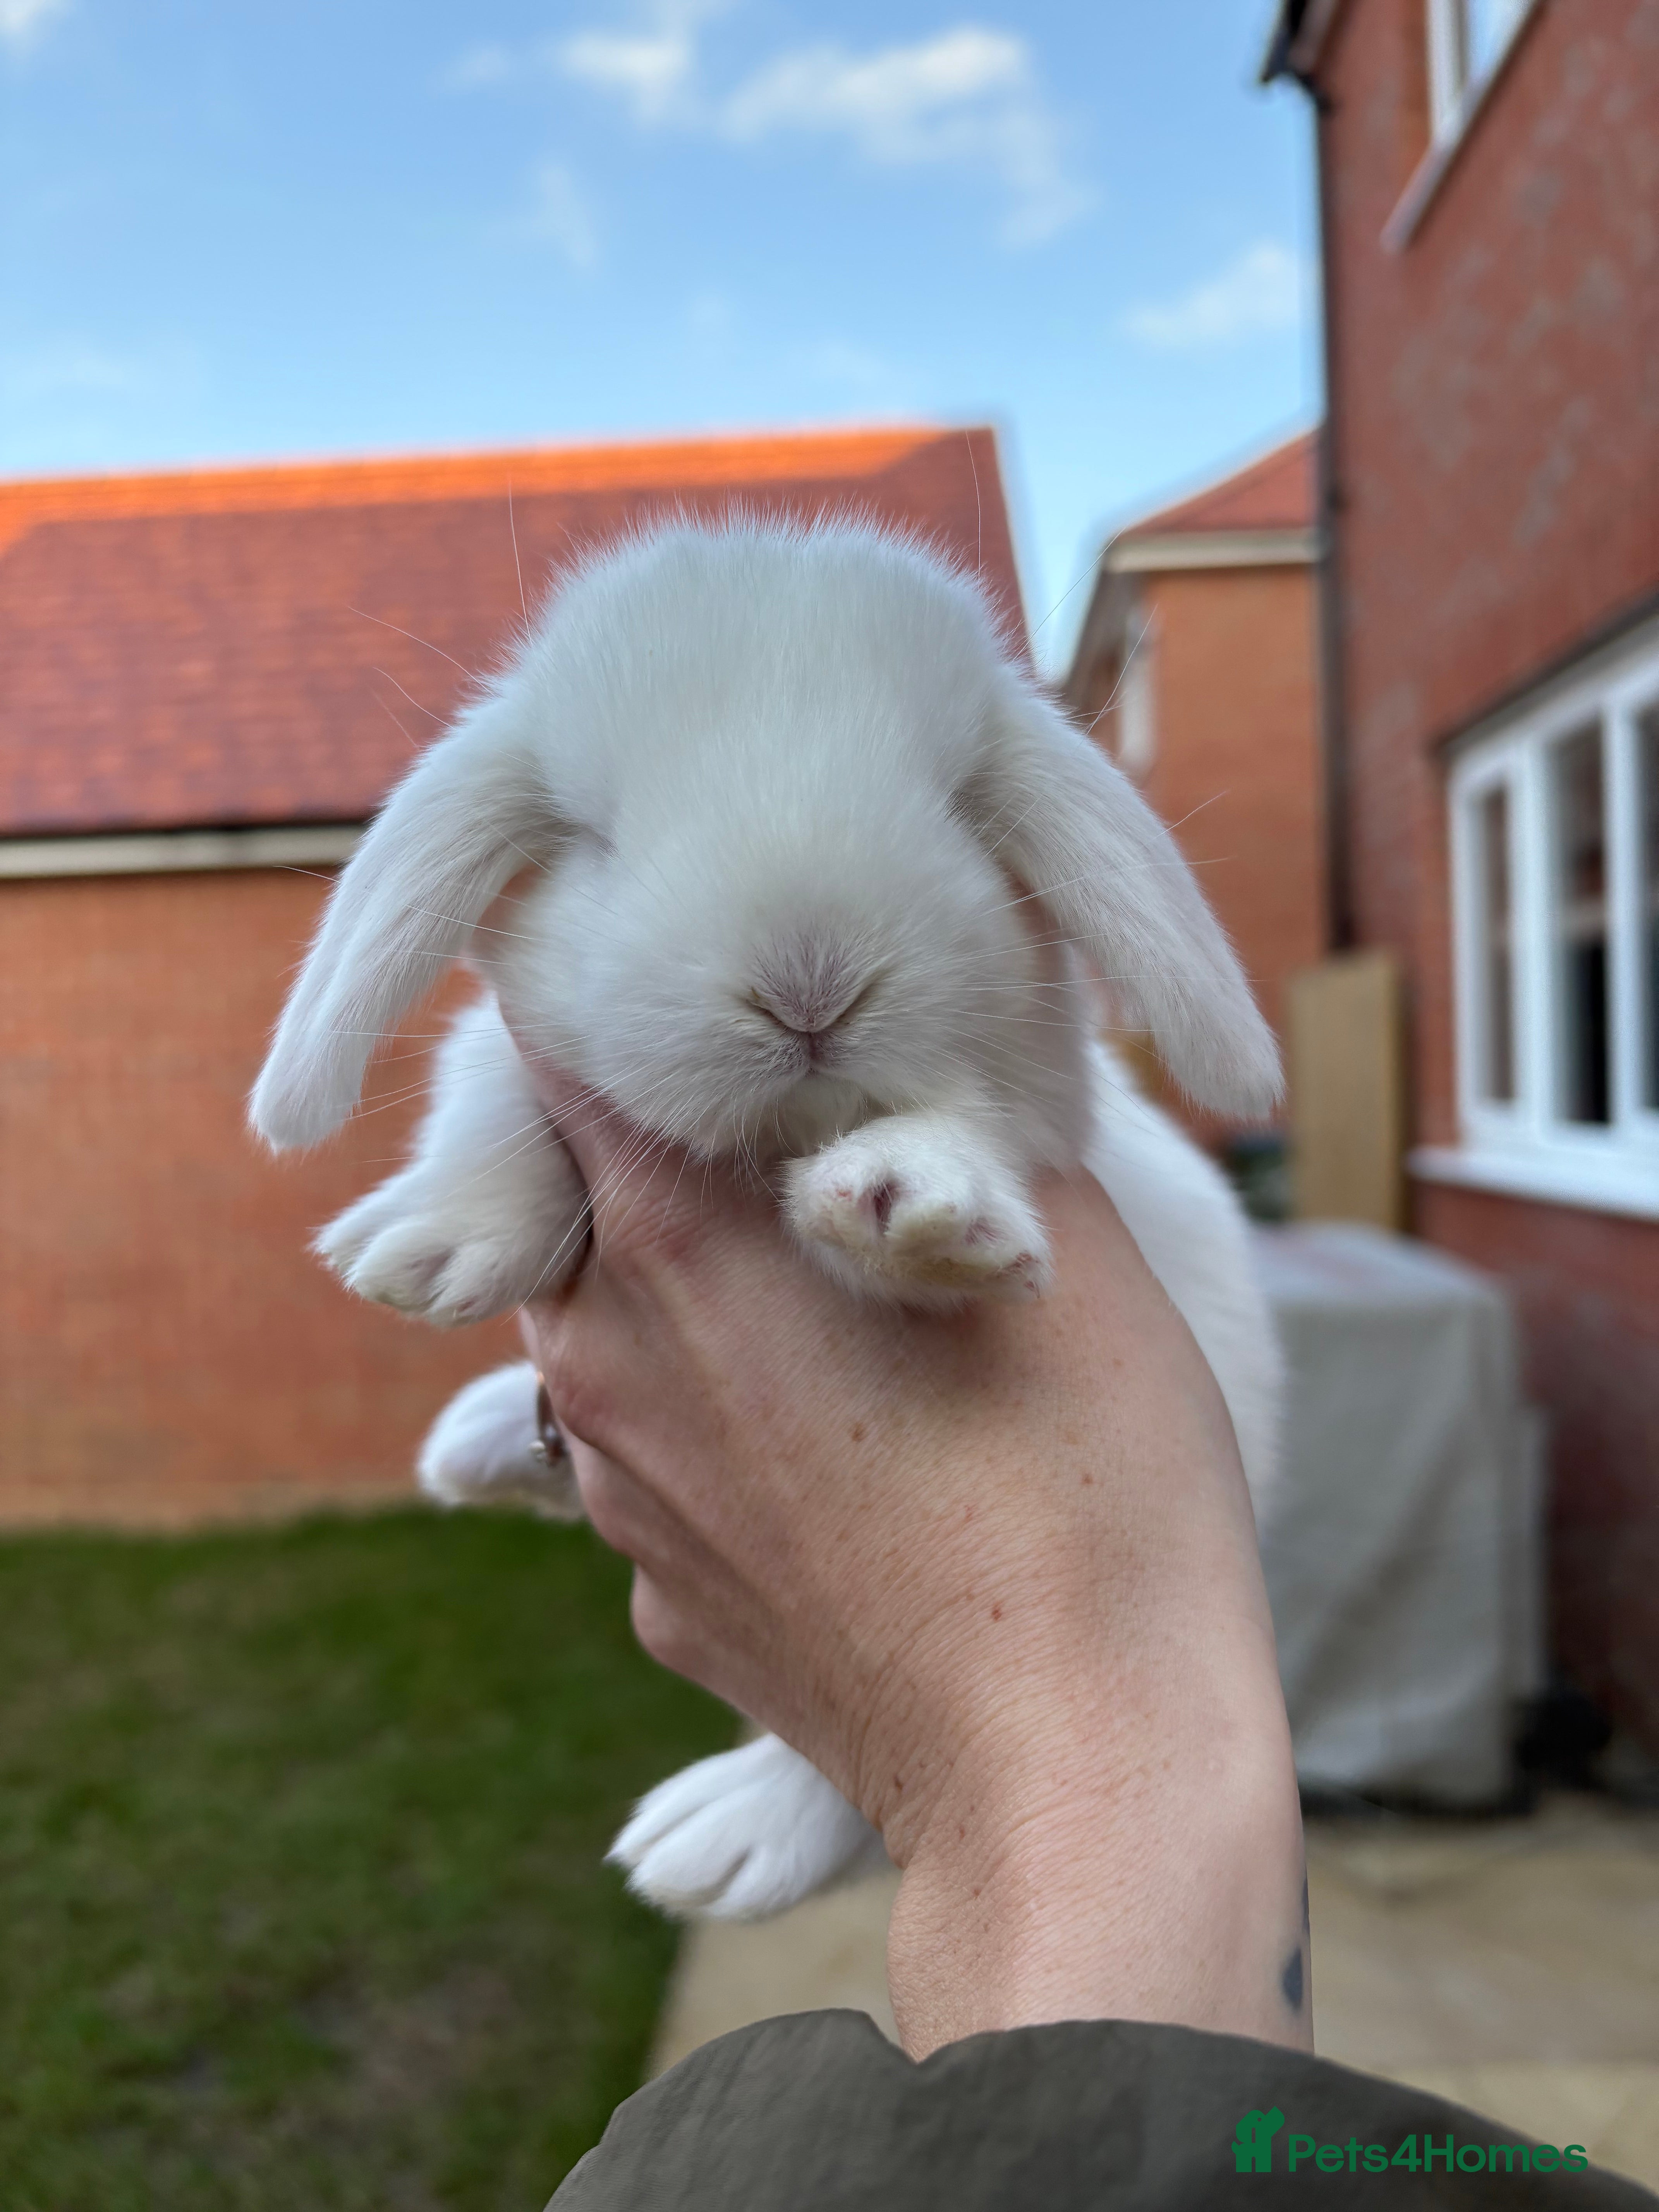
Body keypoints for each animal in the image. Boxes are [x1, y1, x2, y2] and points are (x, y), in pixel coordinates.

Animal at [250, 515, 1284, 1924]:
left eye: (958, 805)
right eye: (596, 836)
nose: (807, 983)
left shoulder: (1045, 1114)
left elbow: (967, 1147)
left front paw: (913, 1207)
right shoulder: (519, 1052)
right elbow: (494, 1090)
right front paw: (433, 1245)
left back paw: (720, 1834)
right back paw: (480, 1443)